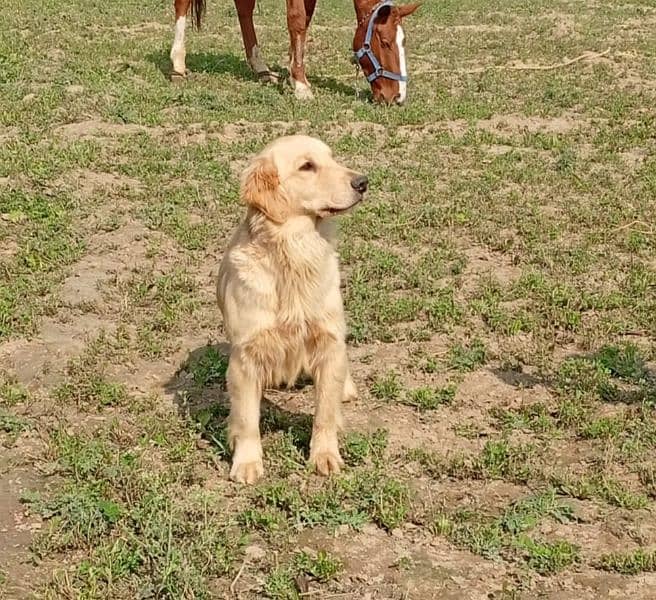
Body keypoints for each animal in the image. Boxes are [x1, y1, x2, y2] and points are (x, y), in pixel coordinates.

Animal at [169, 0, 420, 103]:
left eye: (403, 42)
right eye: (385, 42)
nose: (398, 97)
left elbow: (305, 19)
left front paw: (292, 72)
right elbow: (298, 19)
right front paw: (300, 84)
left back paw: (261, 69)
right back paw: (178, 65)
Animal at [217, 135, 366, 482]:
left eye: (332, 158)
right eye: (307, 166)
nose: (363, 182)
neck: (294, 252)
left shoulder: (328, 341)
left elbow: (324, 413)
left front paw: (325, 455)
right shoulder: (245, 357)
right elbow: (247, 419)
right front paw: (246, 462)